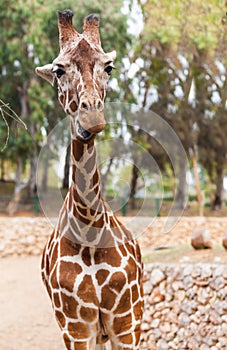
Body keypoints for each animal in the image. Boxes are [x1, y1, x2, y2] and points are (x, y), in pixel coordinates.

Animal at [36, 9, 143, 348]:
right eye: (59, 70)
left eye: (108, 67)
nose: (92, 117)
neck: (89, 228)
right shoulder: (75, 327)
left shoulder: (127, 321)